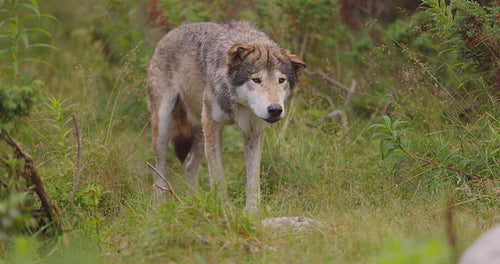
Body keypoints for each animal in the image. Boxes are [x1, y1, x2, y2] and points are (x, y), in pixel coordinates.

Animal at [146, 20, 304, 210]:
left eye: (281, 80)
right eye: (256, 80)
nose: (275, 109)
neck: (236, 103)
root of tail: (171, 32)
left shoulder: (254, 130)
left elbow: (253, 178)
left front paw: (252, 211)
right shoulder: (213, 125)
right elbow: (218, 176)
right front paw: (223, 208)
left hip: (201, 132)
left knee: (190, 165)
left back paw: (195, 203)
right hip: (164, 126)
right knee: (159, 168)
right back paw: (159, 205)